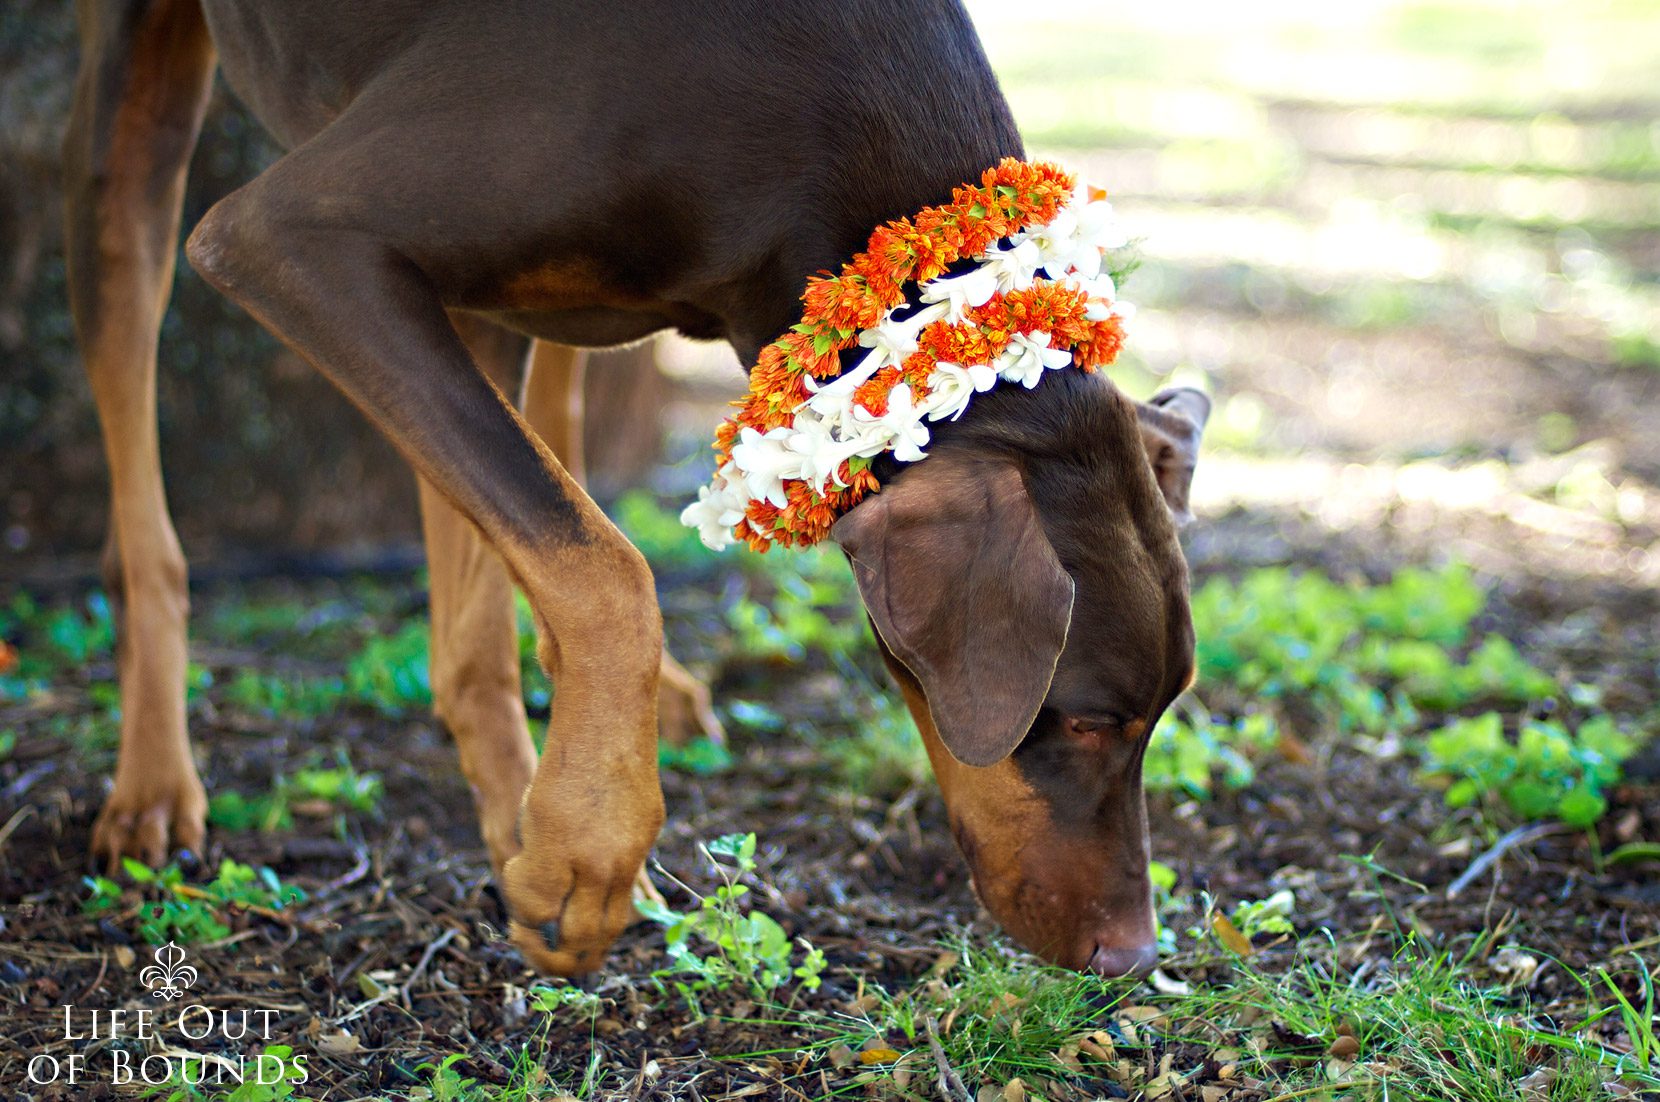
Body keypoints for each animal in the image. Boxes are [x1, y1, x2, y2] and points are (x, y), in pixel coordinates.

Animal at [64, 0, 1208, 975]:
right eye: (1084, 721)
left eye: (1158, 714)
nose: (1131, 957)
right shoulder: (298, 241)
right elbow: (605, 571)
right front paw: (584, 847)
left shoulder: (457, 301)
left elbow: (514, 574)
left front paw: (535, 824)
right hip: (142, 139)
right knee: (130, 394)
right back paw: (154, 777)